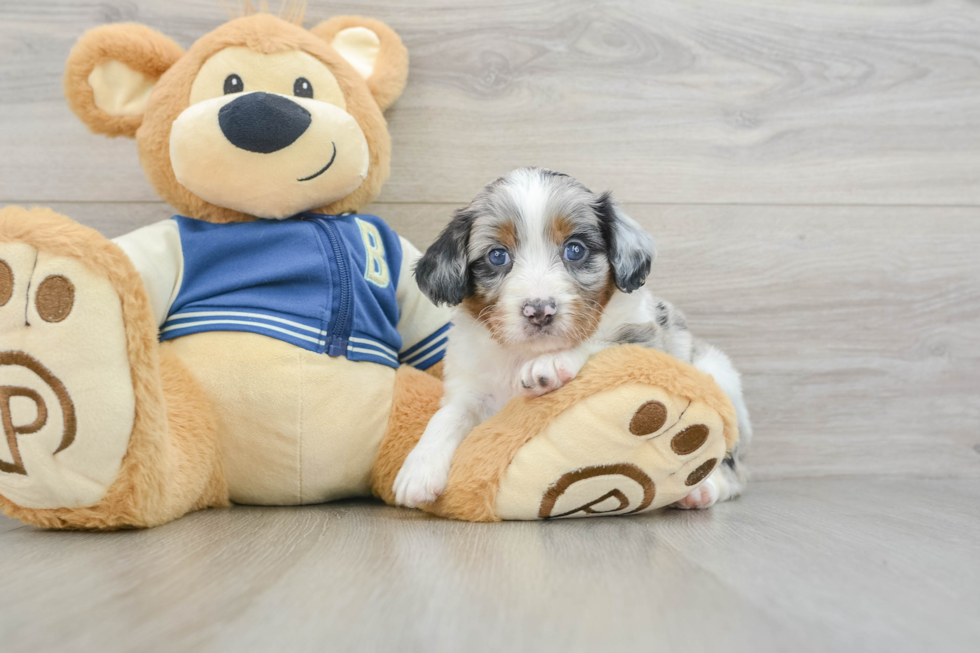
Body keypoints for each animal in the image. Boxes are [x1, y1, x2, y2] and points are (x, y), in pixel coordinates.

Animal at [390, 168, 752, 510]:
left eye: (575, 250)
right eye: (497, 256)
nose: (540, 311)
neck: (523, 354)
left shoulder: (643, 340)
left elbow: (598, 343)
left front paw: (550, 363)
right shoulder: (469, 387)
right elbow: (448, 416)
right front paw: (419, 468)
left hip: (719, 378)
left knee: (730, 468)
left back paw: (702, 490)